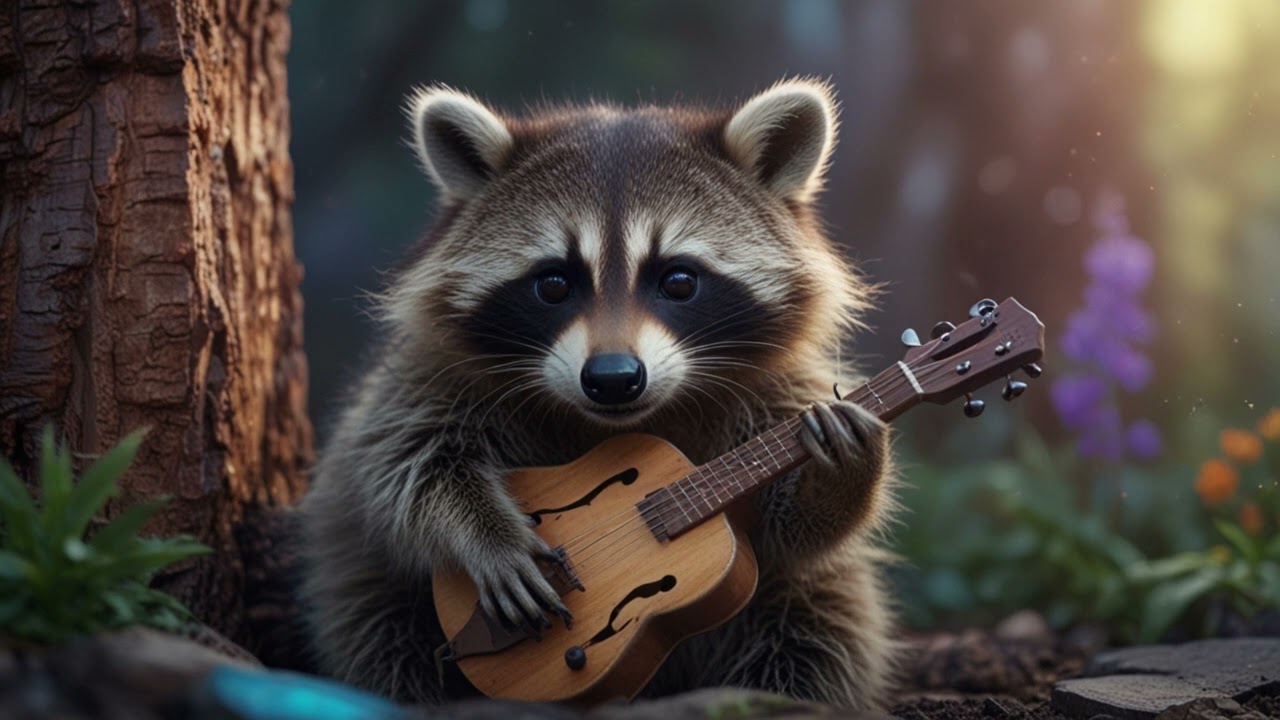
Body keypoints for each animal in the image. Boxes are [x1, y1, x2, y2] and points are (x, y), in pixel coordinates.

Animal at [299, 78, 900, 710]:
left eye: (678, 280)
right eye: (554, 283)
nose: (613, 378)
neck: (615, 423)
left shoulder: (778, 388)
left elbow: (790, 532)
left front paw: (839, 469)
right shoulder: (431, 376)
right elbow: (402, 460)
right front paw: (486, 533)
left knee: (811, 633)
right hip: (378, 600)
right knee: (389, 641)